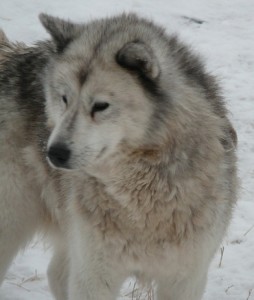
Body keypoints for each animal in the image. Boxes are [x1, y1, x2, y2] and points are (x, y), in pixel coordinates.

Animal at [0, 13, 238, 300]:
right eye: (64, 99)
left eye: (101, 106)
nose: (54, 152)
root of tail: (12, 55)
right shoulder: (94, 274)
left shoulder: (185, 278)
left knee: (56, 274)